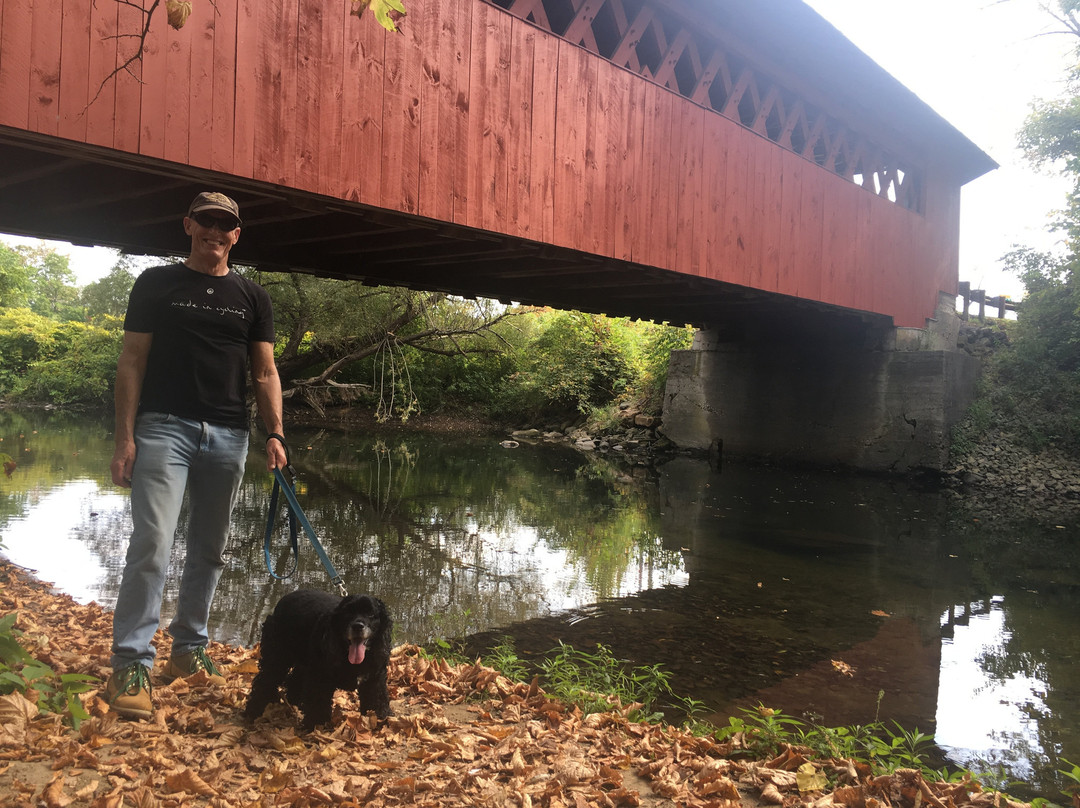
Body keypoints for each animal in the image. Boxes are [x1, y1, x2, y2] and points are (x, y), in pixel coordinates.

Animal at [244, 591, 393, 730]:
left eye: (371, 614)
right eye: (347, 613)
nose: (357, 626)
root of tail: (284, 599)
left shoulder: (375, 678)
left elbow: (377, 699)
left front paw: (381, 718)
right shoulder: (320, 676)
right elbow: (318, 701)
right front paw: (316, 724)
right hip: (277, 656)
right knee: (265, 681)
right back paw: (254, 711)